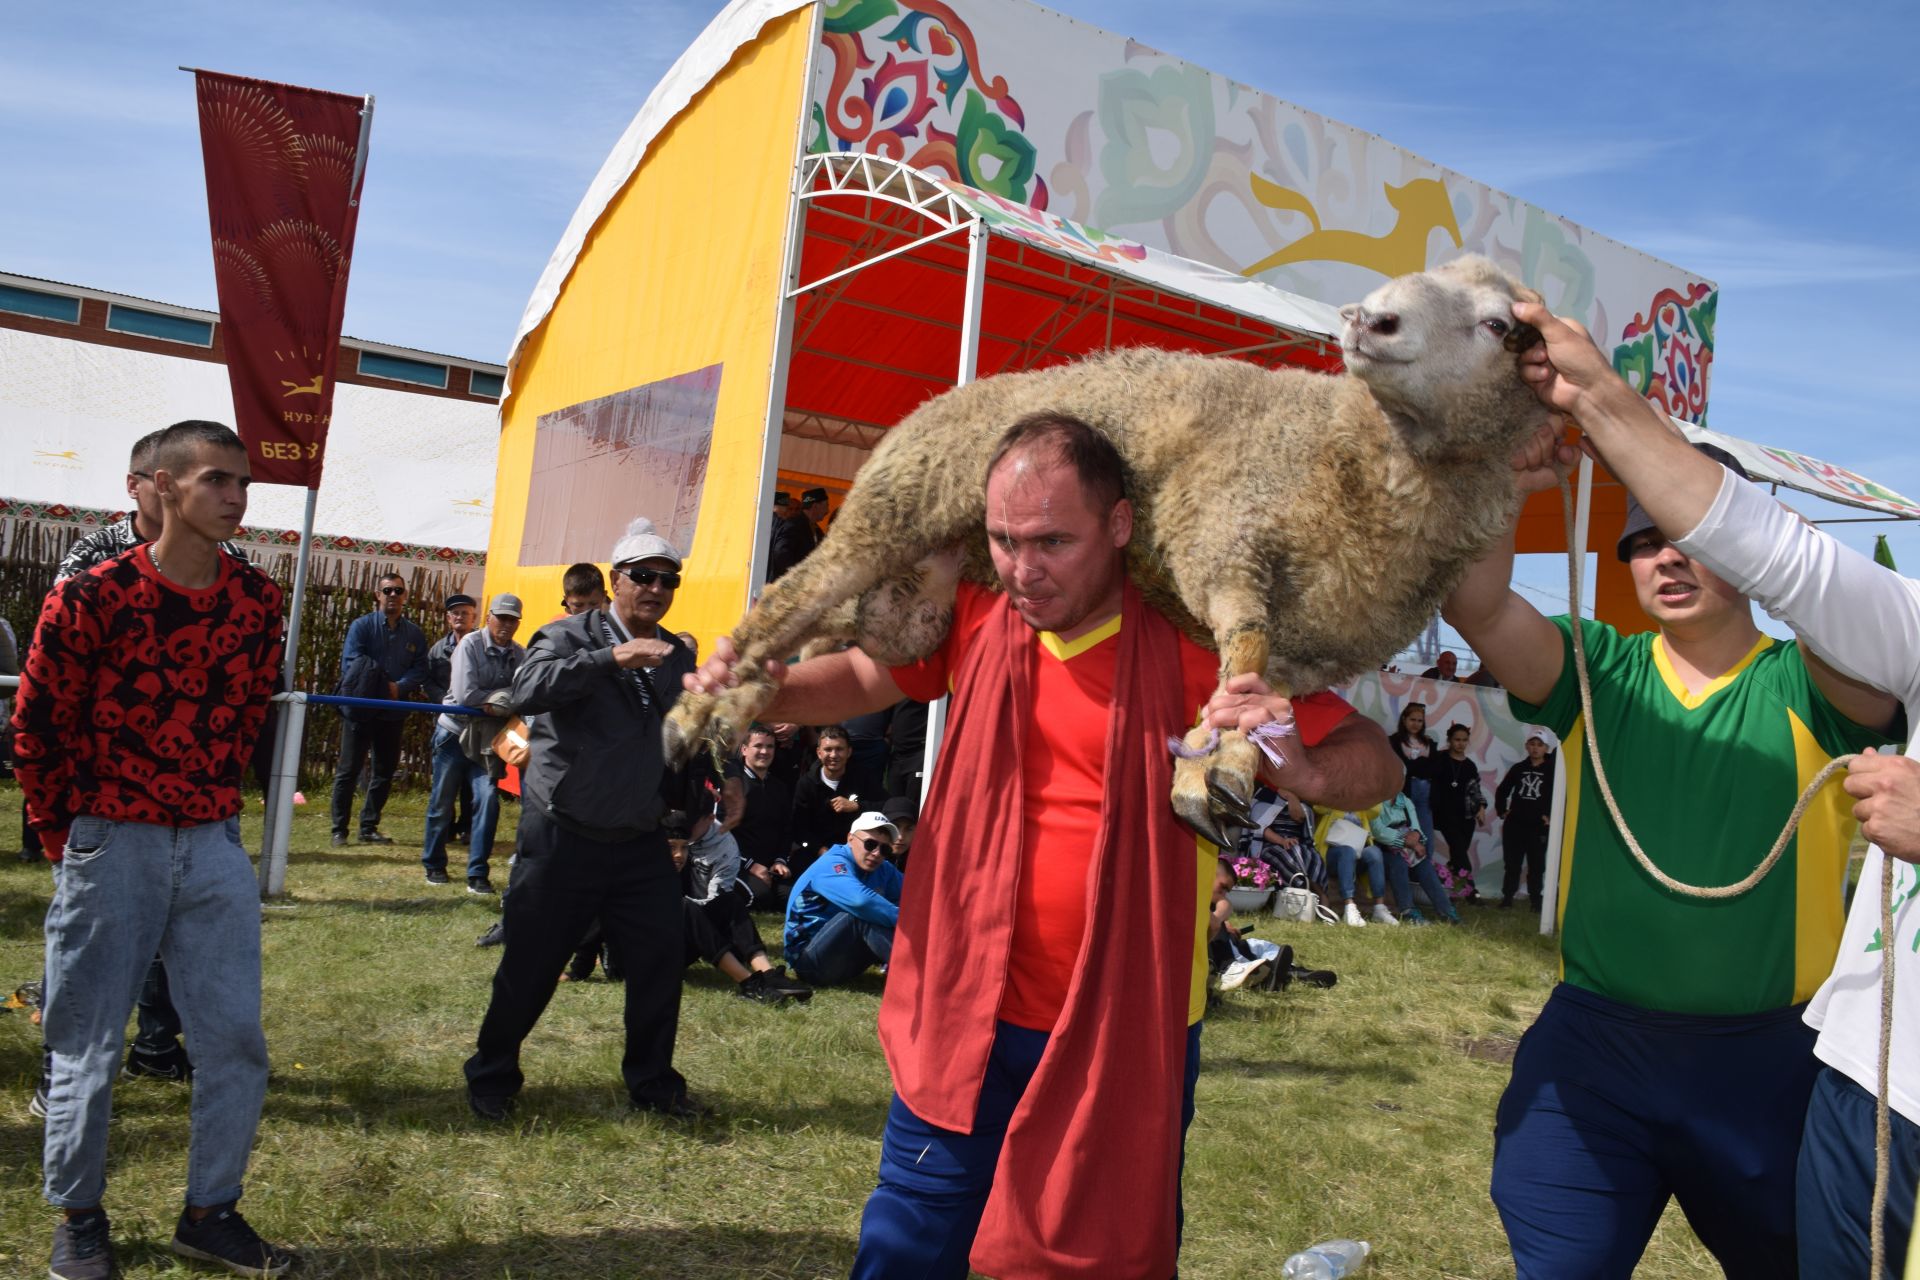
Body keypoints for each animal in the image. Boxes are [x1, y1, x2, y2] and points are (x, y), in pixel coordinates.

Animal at [668, 255, 1551, 844]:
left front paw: (1217, 760)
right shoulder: (1222, 529)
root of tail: (947, 395)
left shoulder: (1312, 651)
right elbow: (1246, 637)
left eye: (1500, 325)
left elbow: (1251, 688)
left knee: (819, 629)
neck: (1361, 456)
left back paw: (738, 700)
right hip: (893, 505)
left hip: (908, 602)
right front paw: (1219, 767)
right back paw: (694, 710)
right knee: (790, 594)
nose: (1369, 319)